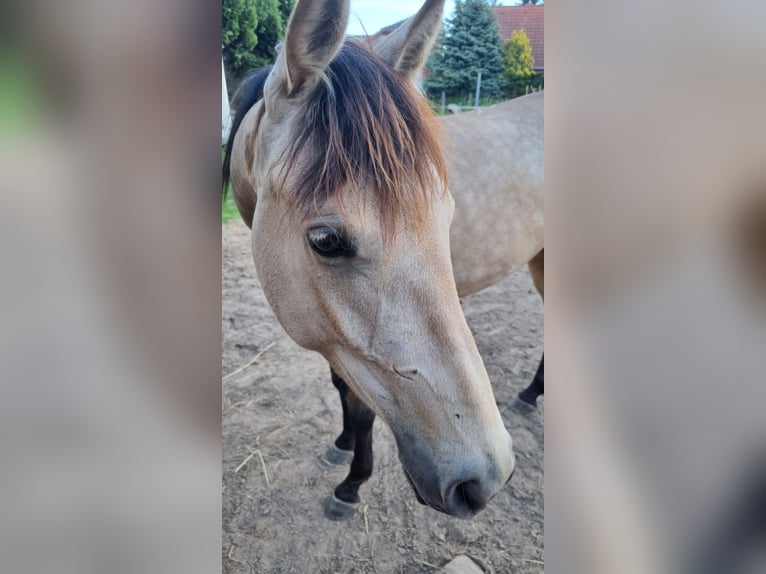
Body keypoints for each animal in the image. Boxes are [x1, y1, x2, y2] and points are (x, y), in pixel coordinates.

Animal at [222, 0, 516, 520]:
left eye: (448, 215)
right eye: (325, 240)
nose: (487, 479)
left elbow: (360, 407)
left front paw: (351, 484)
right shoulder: (333, 337)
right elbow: (344, 391)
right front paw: (342, 447)